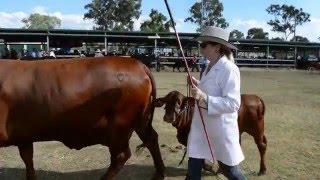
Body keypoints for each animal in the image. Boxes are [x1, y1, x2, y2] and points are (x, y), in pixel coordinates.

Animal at [0, 56, 165, 180]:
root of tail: (138, 65)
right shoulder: (24, 135)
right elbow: (28, 160)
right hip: (141, 120)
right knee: (151, 139)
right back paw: (159, 173)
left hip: (119, 125)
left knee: (121, 155)